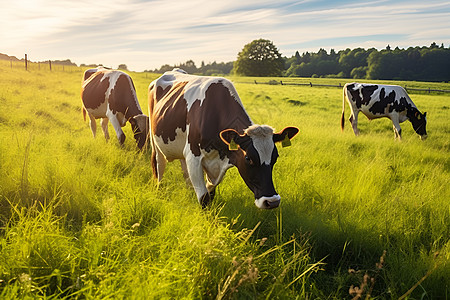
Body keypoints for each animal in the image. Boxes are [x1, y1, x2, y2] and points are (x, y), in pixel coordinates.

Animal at [148, 68, 300, 209]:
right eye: (248, 158)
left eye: (275, 157)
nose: (272, 201)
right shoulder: (193, 156)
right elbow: (204, 198)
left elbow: (211, 193)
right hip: (155, 142)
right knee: (159, 167)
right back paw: (158, 191)